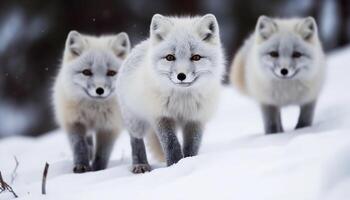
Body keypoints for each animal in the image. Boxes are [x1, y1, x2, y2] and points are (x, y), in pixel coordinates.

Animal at [53, 30, 131, 173]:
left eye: (111, 73)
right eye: (86, 72)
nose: (99, 90)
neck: (93, 111)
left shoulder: (109, 127)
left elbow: (102, 153)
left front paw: (98, 170)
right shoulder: (73, 122)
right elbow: (79, 146)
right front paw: (81, 166)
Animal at [116, 13, 223, 172]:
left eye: (196, 57)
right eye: (170, 57)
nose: (181, 76)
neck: (182, 101)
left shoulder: (196, 118)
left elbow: (192, 145)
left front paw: (188, 161)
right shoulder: (161, 116)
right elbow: (171, 144)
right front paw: (174, 165)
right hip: (135, 120)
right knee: (135, 140)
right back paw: (140, 164)